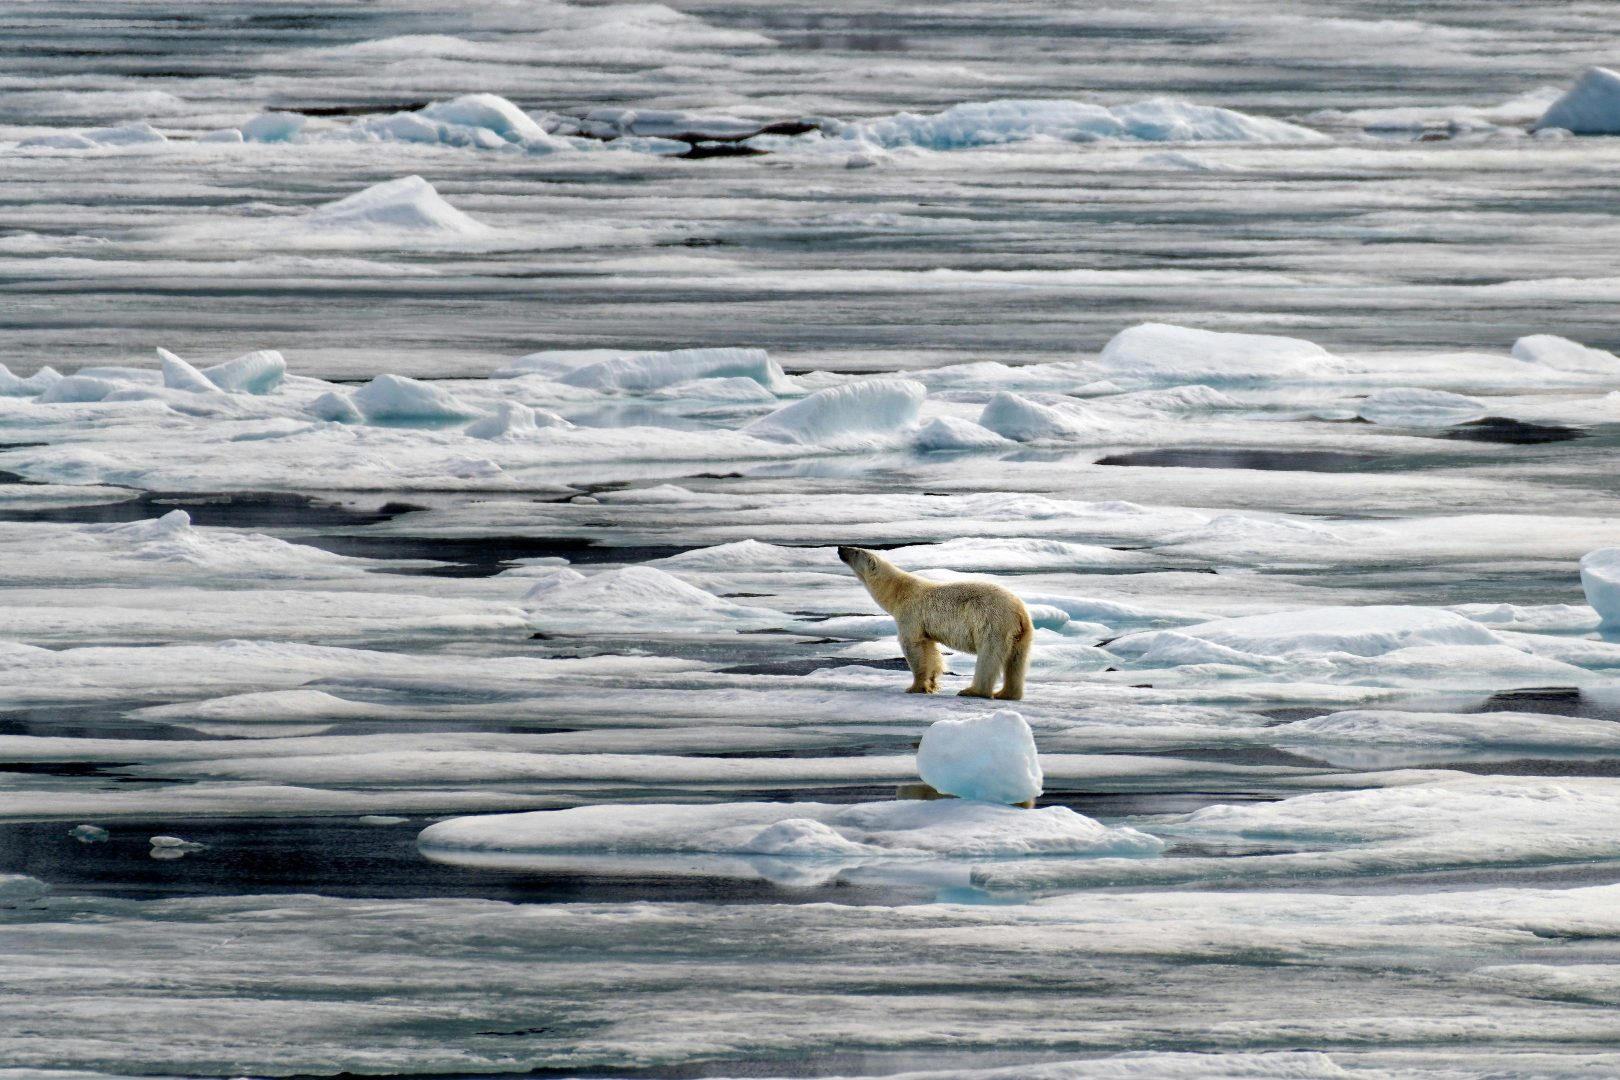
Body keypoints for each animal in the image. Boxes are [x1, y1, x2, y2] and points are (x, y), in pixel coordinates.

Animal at [837, 545, 1033, 700]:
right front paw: (931, 683)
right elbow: (931, 650)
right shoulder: (924, 626)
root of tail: (1019, 612)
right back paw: (1007, 694)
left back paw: (973, 691)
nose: (840, 548)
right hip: (1021, 634)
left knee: (989, 656)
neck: (899, 592)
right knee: (1017, 660)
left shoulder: (911, 615)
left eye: (856, 550)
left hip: (992, 622)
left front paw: (915, 687)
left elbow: (914, 648)